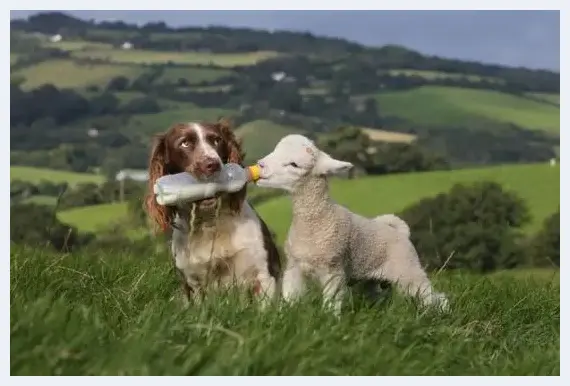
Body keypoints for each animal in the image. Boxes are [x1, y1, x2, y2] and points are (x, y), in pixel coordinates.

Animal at [144, 119, 282, 306]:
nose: (212, 165)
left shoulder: (263, 274)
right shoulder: (193, 283)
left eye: (217, 140)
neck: (210, 223)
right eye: (184, 143)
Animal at [256, 134, 448, 316]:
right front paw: (283, 316)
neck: (317, 220)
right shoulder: (294, 267)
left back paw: (440, 313)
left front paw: (330, 320)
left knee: (432, 296)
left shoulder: (333, 269)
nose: (260, 165)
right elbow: (290, 298)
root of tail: (399, 231)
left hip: (407, 269)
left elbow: (331, 303)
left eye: (294, 164)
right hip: (370, 279)